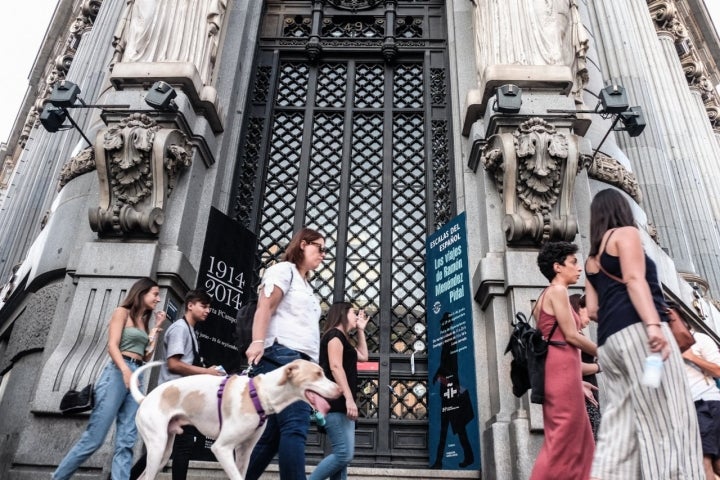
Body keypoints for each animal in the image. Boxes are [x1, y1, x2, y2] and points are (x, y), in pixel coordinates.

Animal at [129, 360, 340, 480]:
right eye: (318, 374)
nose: (340, 390)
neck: (260, 393)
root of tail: (145, 398)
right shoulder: (221, 448)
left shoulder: (245, 452)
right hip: (157, 447)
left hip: (165, 452)